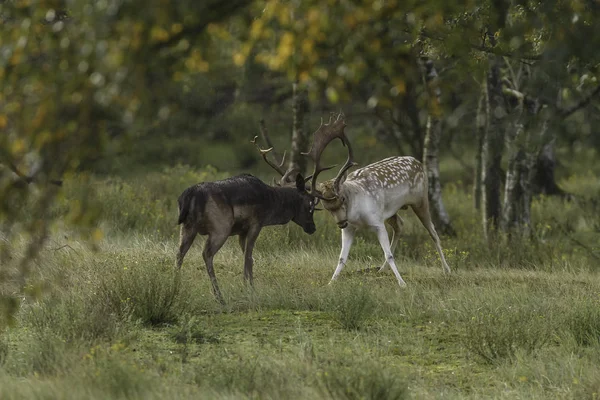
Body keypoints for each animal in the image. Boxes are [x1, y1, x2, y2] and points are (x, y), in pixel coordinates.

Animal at [177, 138, 318, 304]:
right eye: (310, 204)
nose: (312, 228)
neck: (271, 203)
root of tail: (190, 194)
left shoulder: (241, 232)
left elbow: (250, 258)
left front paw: (250, 287)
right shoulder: (256, 224)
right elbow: (248, 257)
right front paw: (249, 290)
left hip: (187, 226)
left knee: (179, 253)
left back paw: (175, 286)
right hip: (220, 227)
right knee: (207, 254)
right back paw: (220, 297)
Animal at [304, 114, 450, 286]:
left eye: (343, 198)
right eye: (326, 207)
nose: (341, 222)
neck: (357, 216)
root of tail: (419, 162)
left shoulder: (377, 222)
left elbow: (388, 254)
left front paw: (402, 283)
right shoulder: (349, 228)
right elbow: (342, 257)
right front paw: (330, 283)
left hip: (421, 200)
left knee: (433, 231)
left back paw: (447, 270)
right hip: (391, 211)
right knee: (400, 225)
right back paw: (381, 269)